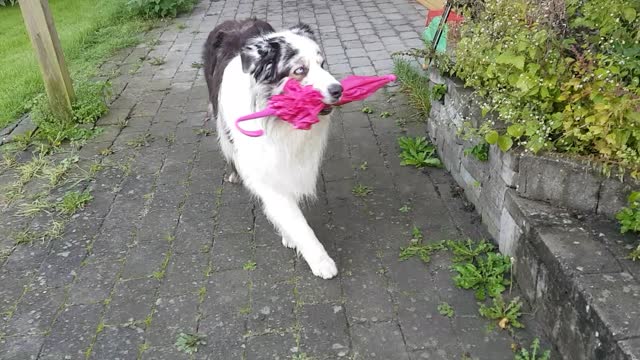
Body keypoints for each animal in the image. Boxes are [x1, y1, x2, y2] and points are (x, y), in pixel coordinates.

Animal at [205, 19, 344, 278]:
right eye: (299, 70)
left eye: (322, 64)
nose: (338, 90)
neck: (279, 122)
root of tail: (234, 21)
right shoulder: (263, 170)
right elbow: (294, 218)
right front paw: (320, 260)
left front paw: (289, 236)